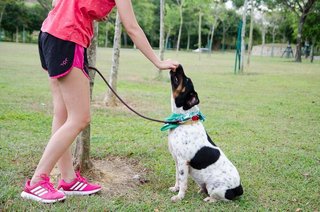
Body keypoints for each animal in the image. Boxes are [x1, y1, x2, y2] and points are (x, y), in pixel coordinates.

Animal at [164, 64, 244, 202]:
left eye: (186, 80)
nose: (179, 65)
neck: (184, 120)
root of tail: (239, 188)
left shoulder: (183, 161)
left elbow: (183, 182)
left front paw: (179, 196)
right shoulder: (176, 160)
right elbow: (177, 178)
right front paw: (175, 189)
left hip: (215, 187)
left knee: (221, 199)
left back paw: (209, 199)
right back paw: (201, 190)